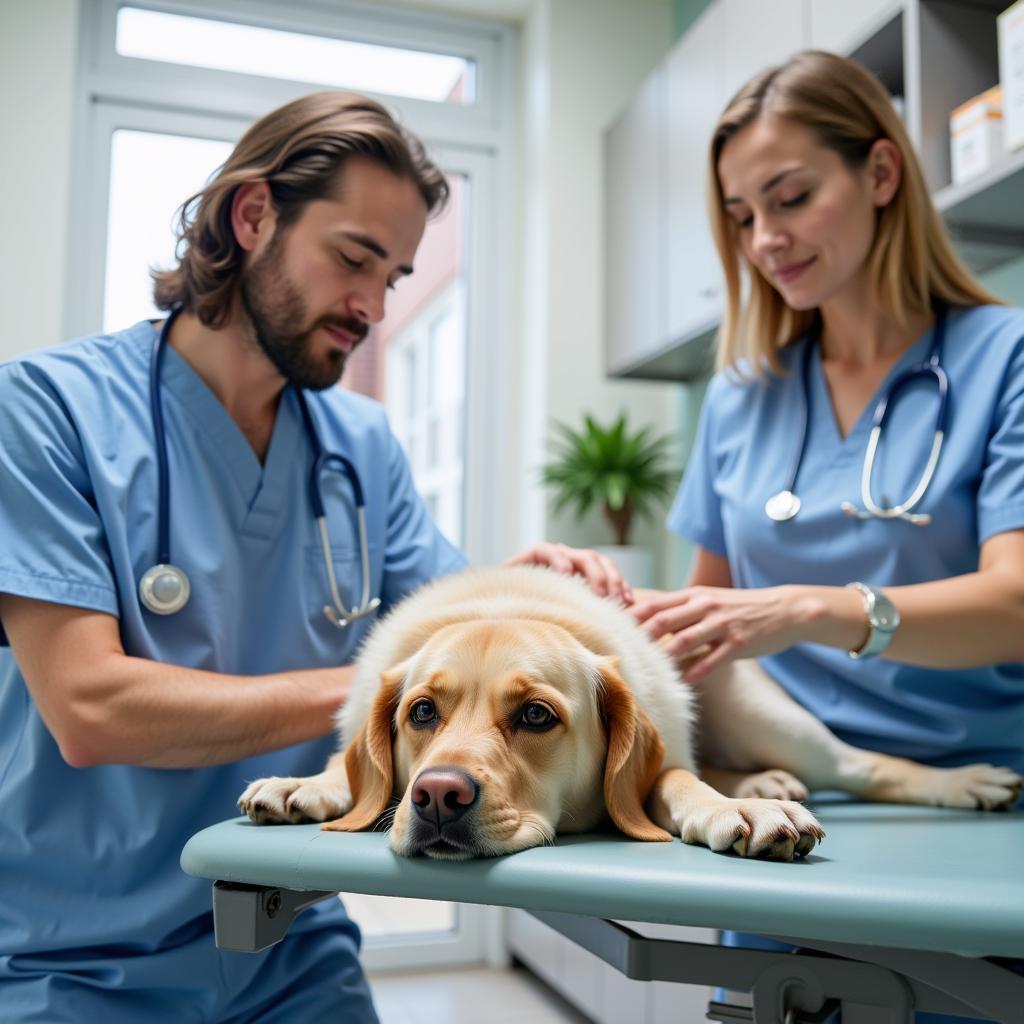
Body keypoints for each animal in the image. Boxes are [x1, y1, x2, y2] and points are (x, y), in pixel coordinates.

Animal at [241, 565, 1024, 860]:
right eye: (422, 712)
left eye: (536, 717)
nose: (437, 796)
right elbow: (348, 768)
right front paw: (306, 784)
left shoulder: (664, 756)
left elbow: (676, 779)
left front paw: (734, 810)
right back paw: (763, 782)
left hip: (776, 721)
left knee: (868, 765)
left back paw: (964, 780)